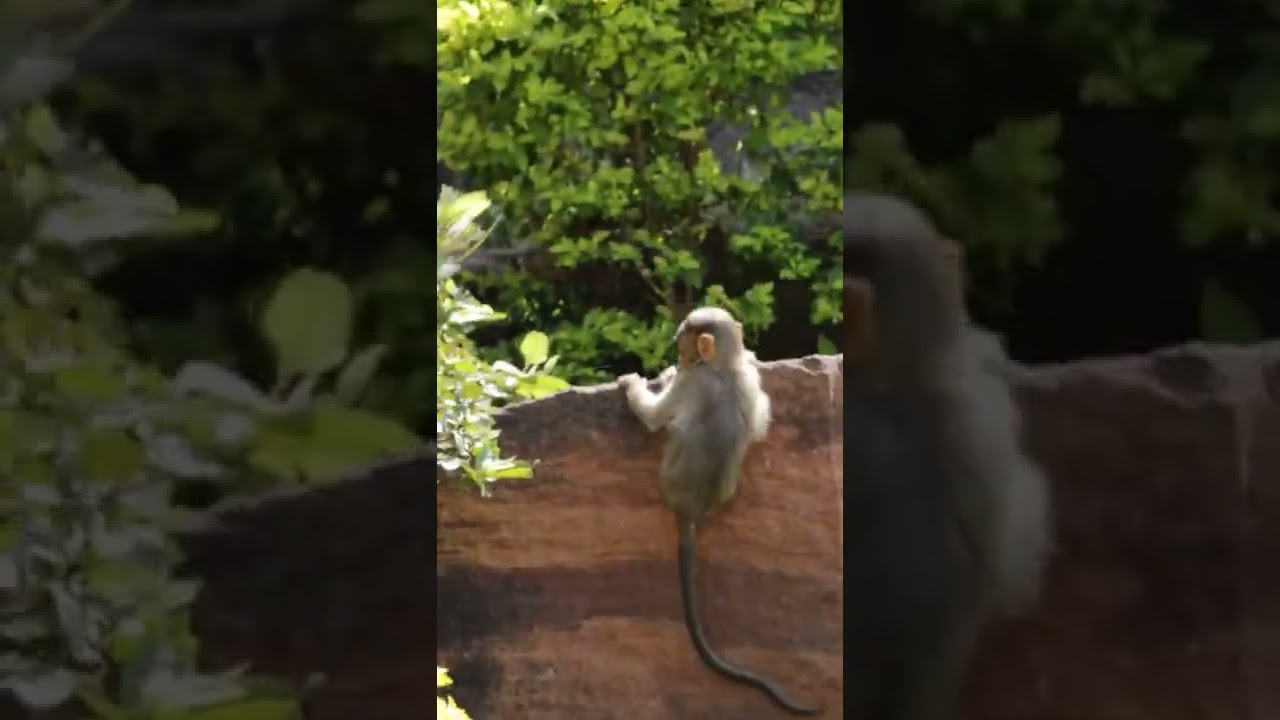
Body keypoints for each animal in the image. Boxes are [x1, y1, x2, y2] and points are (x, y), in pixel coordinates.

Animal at [617, 306, 821, 717]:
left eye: (683, 346)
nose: (679, 358)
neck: (723, 366)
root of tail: (691, 509)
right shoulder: (747, 380)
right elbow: (760, 422)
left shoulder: (691, 380)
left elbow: (655, 417)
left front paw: (636, 382)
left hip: (666, 476)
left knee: (670, 430)